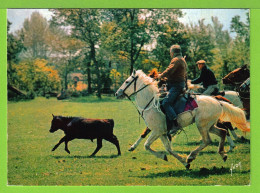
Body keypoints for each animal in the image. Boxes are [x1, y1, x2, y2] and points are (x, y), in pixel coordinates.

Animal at [115, 69, 249, 169]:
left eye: (127, 81)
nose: (117, 93)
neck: (151, 103)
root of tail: (218, 101)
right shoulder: (161, 133)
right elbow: (168, 149)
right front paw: (182, 162)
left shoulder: (157, 131)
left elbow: (147, 145)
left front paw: (168, 157)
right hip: (210, 126)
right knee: (223, 132)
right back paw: (223, 153)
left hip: (201, 125)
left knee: (208, 140)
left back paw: (192, 155)